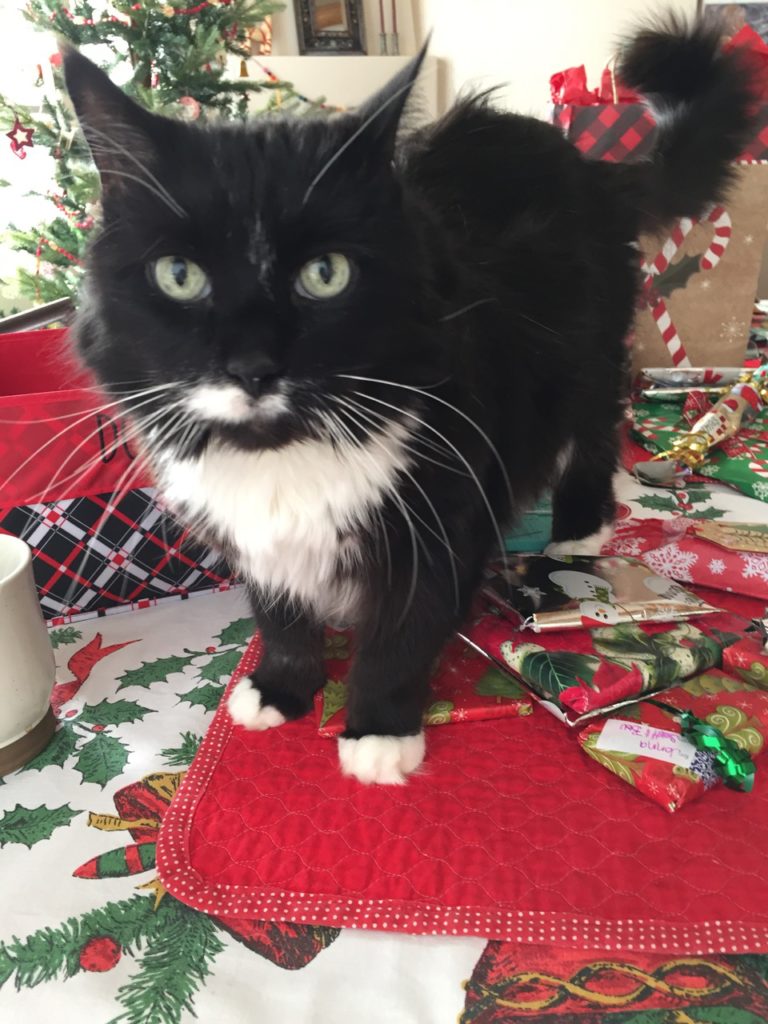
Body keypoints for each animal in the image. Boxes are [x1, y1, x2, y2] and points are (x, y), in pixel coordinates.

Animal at [63, 16, 753, 782]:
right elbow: (279, 617)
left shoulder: (442, 512)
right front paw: (280, 690)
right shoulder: (253, 536)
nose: (253, 367)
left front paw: (378, 733)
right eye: (179, 276)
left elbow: (400, 634)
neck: (288, 454)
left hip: (590, 356)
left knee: (595, 433)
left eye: (325, 274)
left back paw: (581, 527)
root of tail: (590, 163)